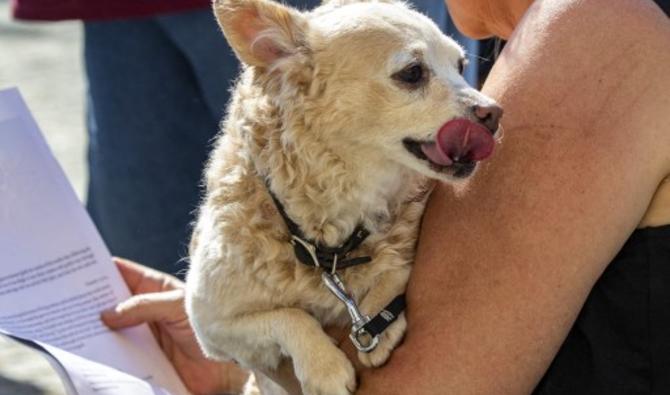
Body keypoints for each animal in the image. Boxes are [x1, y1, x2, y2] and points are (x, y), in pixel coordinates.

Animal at [186, 0, 502, 394]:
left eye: (460, 67)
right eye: (413, 73)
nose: (494, 111)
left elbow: (396, 264)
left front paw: (379, 317)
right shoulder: (210, 327)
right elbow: (288, 316)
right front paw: (323, 368)